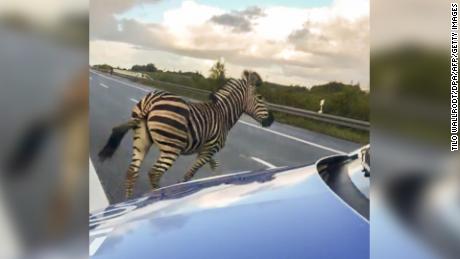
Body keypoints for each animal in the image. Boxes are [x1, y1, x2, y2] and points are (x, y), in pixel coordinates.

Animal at [98, 70, 274, 199]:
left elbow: (215, 167)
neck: (223, 115)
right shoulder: (209, 150)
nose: (272, 120)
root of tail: (150, 101)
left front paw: (220, 180)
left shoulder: (205, 150)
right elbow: (189, 174)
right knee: (154, 173)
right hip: (172, 148)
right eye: (260, 98)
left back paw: (129, 200)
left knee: (132, 172)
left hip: (142, 140)